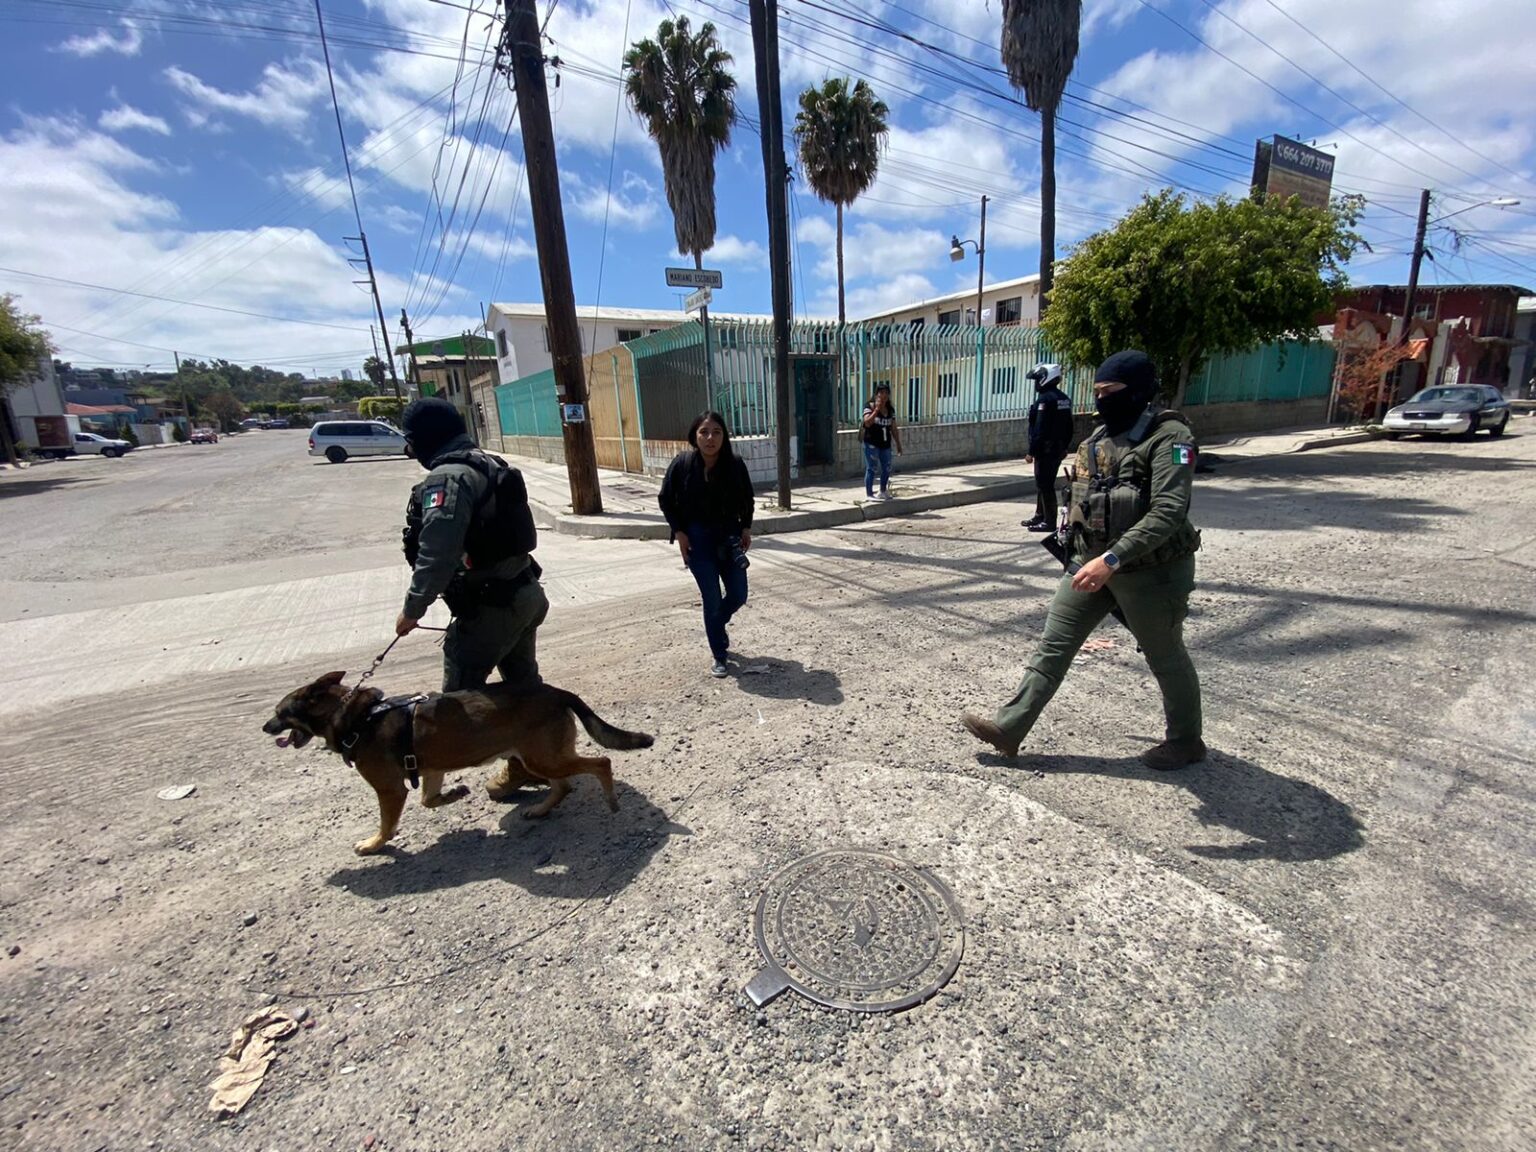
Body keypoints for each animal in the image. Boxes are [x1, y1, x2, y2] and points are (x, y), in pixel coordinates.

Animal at [264, 675, 654, 860]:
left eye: (280, 711)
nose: (265, 728)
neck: (358, 716)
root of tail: (558, 692)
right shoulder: (432, 769)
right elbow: (429, 799)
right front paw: (455, 793)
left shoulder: (389, 789)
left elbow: (388, 825)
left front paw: (373, 844)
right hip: (538, 757)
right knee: (564, 785)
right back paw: (540, 810)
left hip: (545, 757)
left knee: (601, 763)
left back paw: (611, 801)